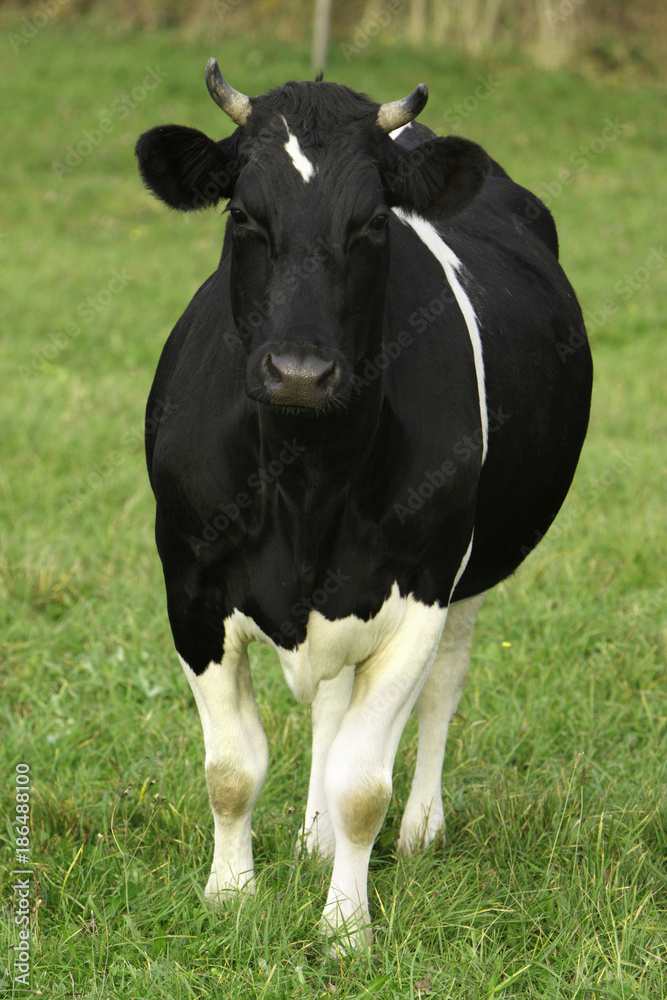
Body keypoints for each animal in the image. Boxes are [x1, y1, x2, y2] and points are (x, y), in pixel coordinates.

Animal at [133, 60, 592, 952]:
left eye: (374, 221)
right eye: (243, 213)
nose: (300, 372)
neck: (307, 485)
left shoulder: (419, 590)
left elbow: (361, 783)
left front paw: (346, 926)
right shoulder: (190, 586)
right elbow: (232, 768)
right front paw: (229, 896)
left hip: (467, 574)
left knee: (441, 691)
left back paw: (419, 830)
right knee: (330, 704)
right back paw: (311, 837)